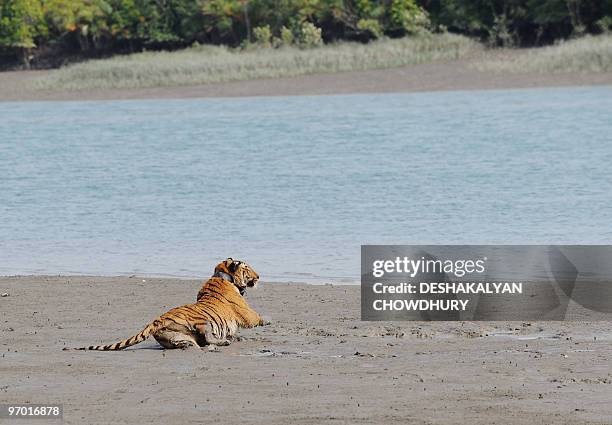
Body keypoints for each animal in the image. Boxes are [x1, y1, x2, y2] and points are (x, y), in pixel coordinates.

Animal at [67, 256, 268, 350]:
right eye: (247, 268)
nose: (259, 276)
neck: (222, 275)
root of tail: (157, 320)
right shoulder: (245, 311)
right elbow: (256, 317)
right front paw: (267, 320)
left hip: (177, 336)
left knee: (195, 344)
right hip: (203, 322)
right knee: (208, 338)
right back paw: (224, 342)